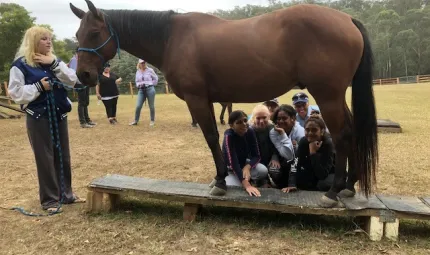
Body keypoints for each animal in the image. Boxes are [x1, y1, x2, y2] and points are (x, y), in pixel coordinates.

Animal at [69, 0, 376, 207]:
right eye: (77, 35)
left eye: (94, 33)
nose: (83, 75)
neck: (171, 38)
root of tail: (347, 19)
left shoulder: (197, 99)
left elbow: (210, 137)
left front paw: (218, 182)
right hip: (335, 96)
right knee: (352, 131)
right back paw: (349, 186)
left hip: (328, 95)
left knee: (342, 134)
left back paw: (333, 192)